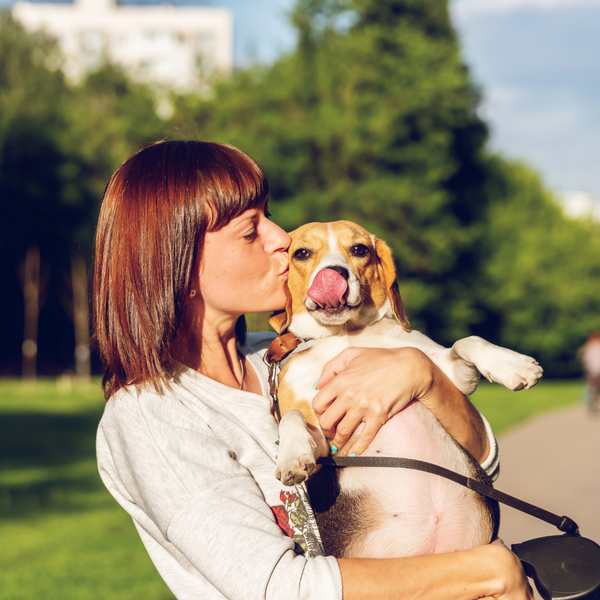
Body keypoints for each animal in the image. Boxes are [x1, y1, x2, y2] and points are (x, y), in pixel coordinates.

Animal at [268, 220, 544, 556]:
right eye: (302, 253)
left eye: (359, 249)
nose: (335, 274)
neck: (344, 334)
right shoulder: (325, 447)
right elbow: (292, 418)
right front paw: (292, 456)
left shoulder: (451, 373)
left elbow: (467, 341)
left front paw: (512, 364)